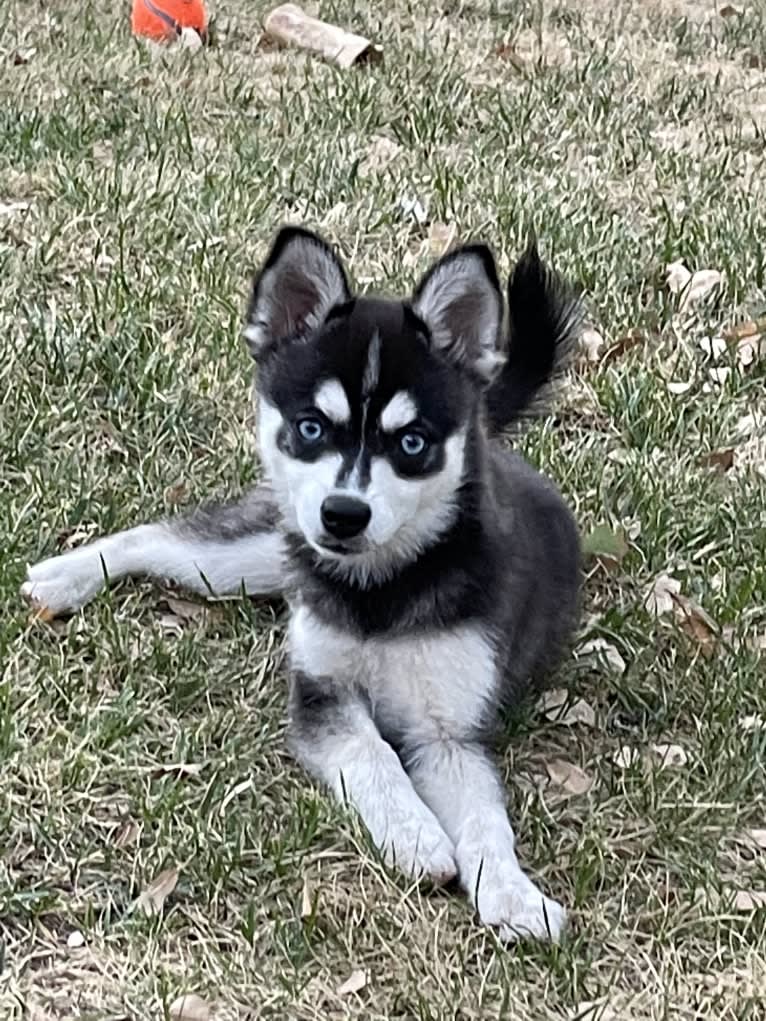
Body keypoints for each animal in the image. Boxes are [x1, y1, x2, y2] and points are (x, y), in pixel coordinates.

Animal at [20, 227, 584, 943]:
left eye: (413, 443)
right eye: (312, 427)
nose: (342, 515)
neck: (378, 591)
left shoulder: (450, 731)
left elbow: (487, 820)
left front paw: (512, 893)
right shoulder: (322, 697)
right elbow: (373, 754)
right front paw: (416, 834)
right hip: (251, 556)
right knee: (157, 537)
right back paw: (64, 578)